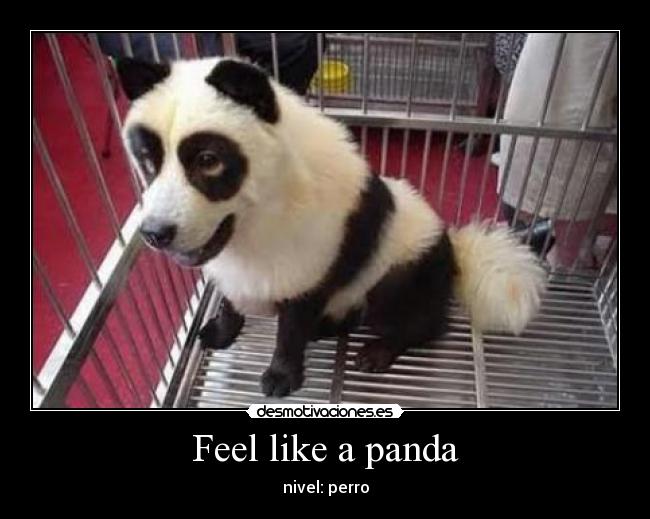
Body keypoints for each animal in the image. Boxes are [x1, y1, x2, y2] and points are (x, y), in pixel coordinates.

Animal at [116, 56, 546, 398]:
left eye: (208, 160)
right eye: (147, 159)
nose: (155, 233)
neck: (256, 220)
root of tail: (454, 245)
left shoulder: (310, 259)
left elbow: (290, 329)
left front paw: (282, 376)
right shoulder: (229, 261)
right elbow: (228, 297)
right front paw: (222, 330)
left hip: (402, 271)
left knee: (419, 320)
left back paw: (380, 349)